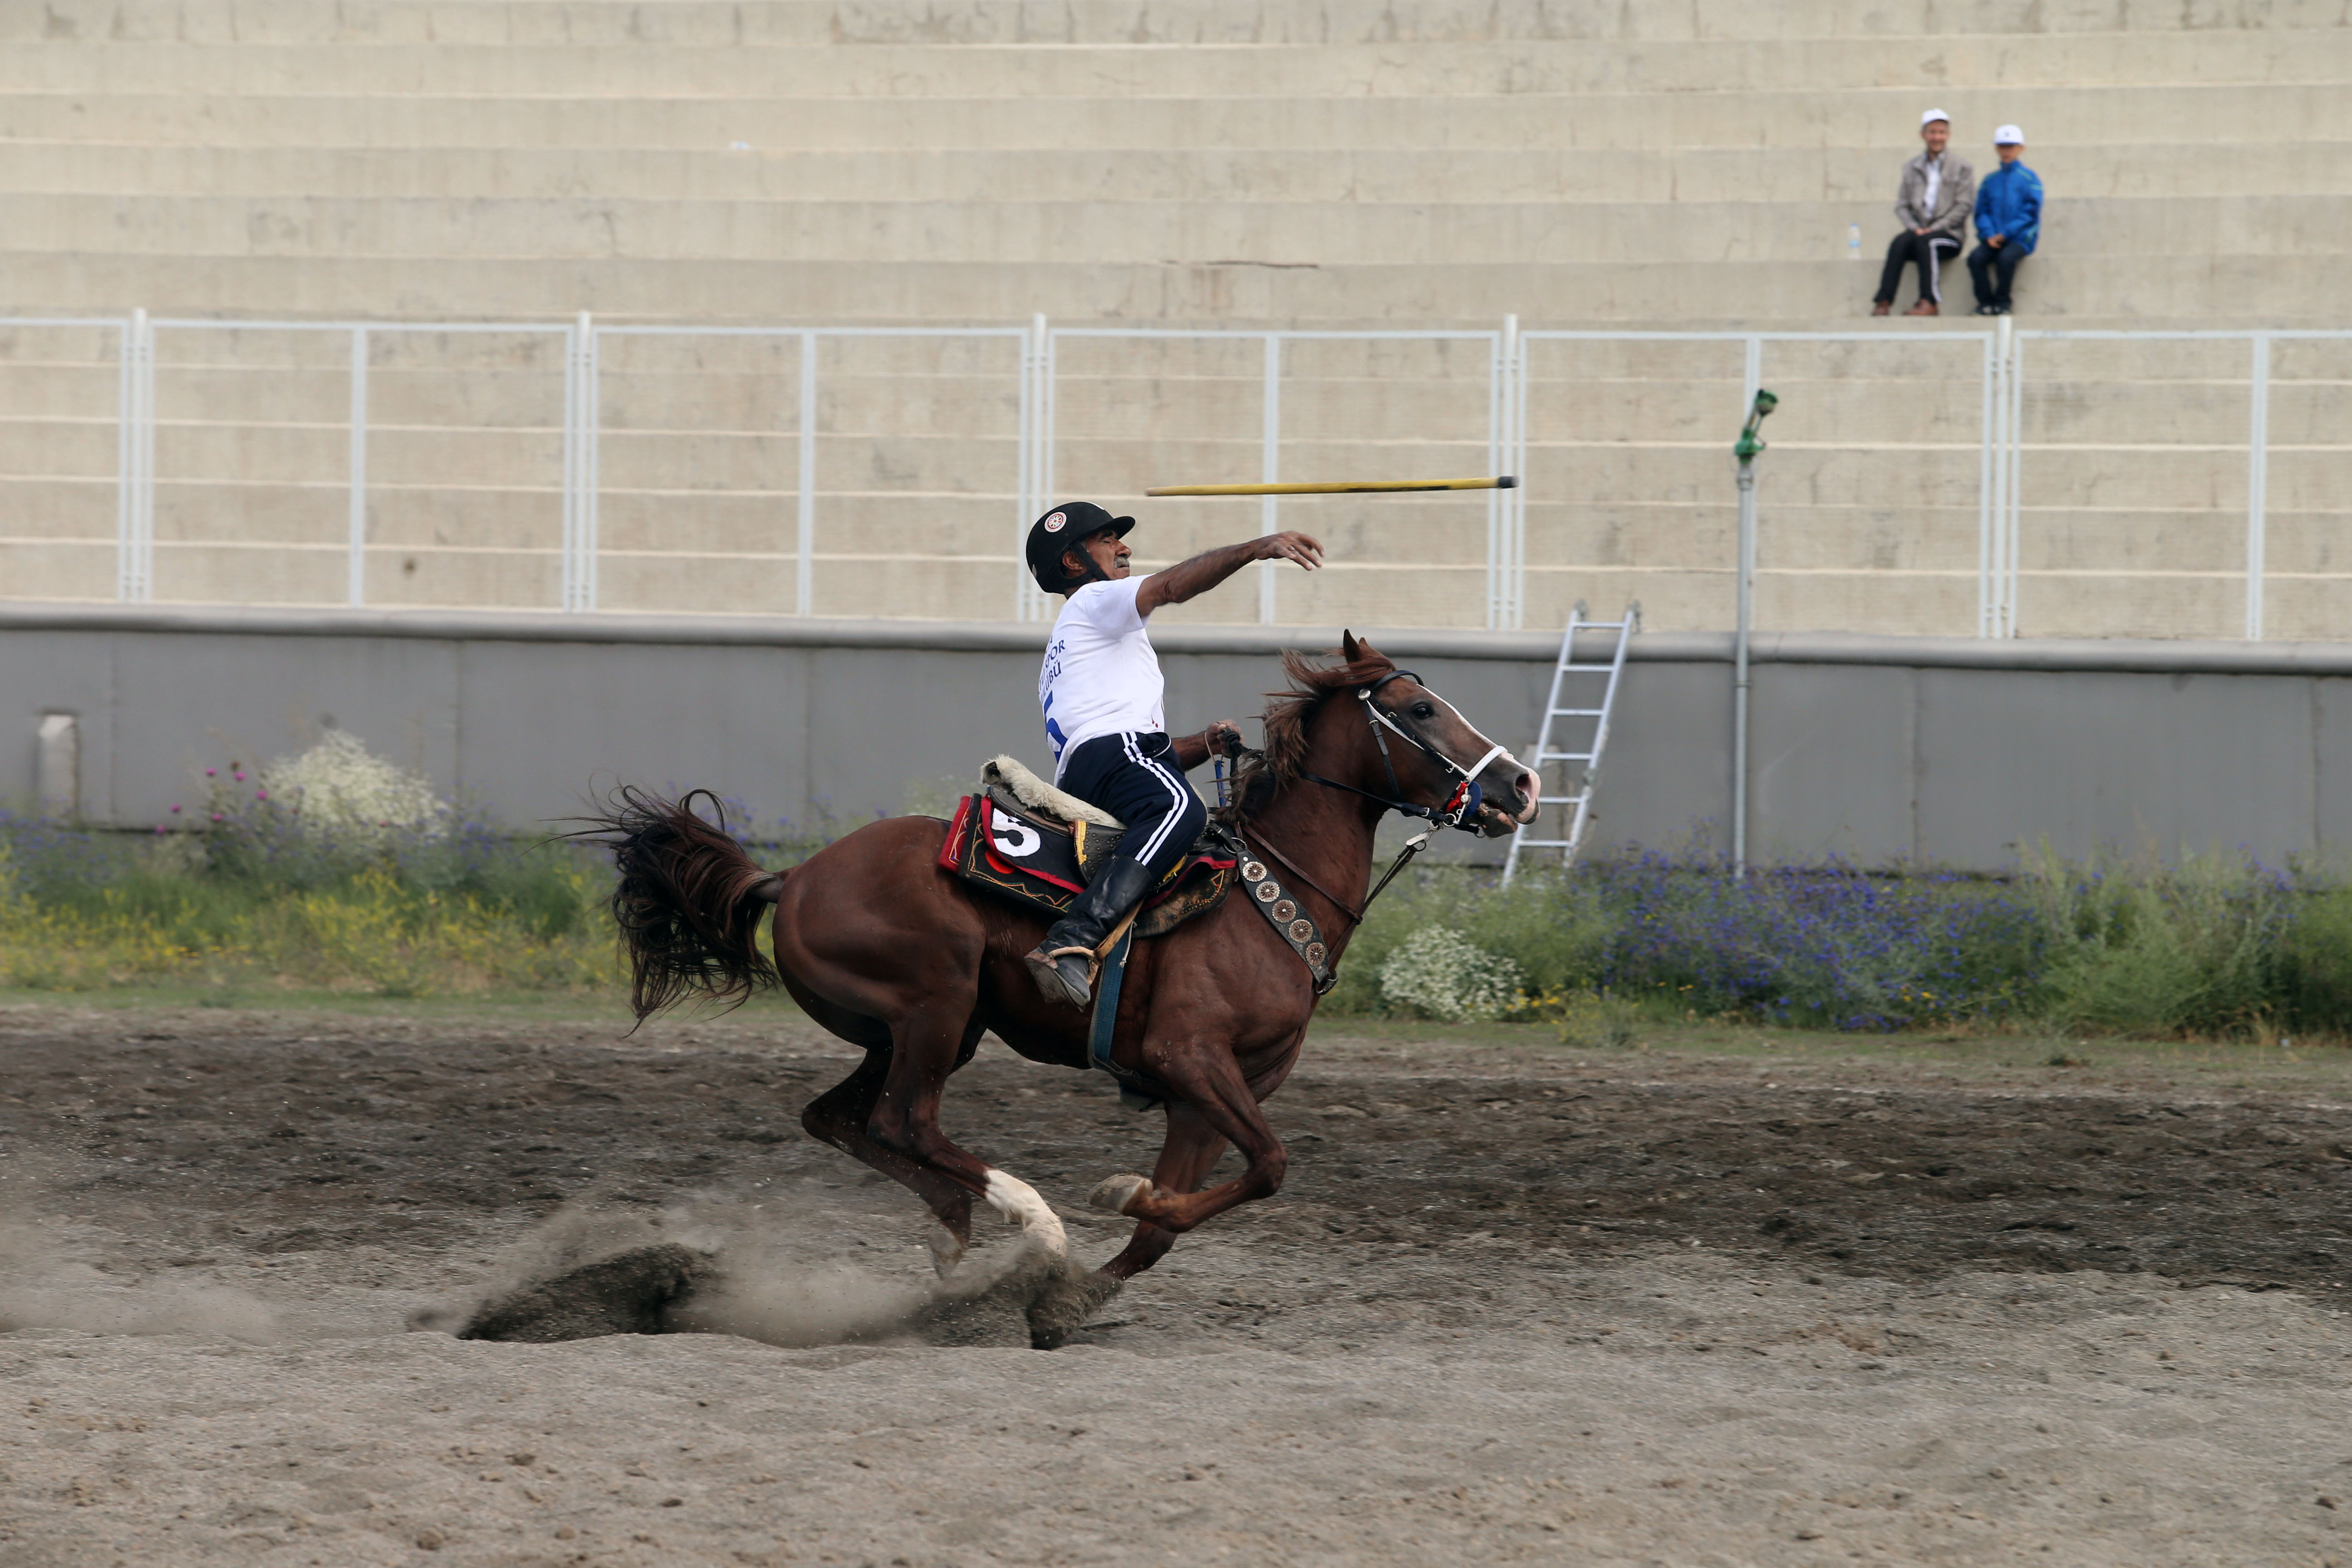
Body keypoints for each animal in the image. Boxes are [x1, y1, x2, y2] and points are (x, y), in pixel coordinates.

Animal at [583, 639, 1543, 1316]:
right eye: (1419, 708)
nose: (1521, 784)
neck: (1266, 889)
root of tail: (793, 877)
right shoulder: (1191, 1058)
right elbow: (1268, 1165)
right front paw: (1111, 1199)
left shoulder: (1205, 1095)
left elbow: (1168, 1223)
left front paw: (1085, 1282)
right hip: (936, 1005)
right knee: (905, 1120)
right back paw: (1023, 1215)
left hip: (919, 1030)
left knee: (841, 1119)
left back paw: (954, 1228)